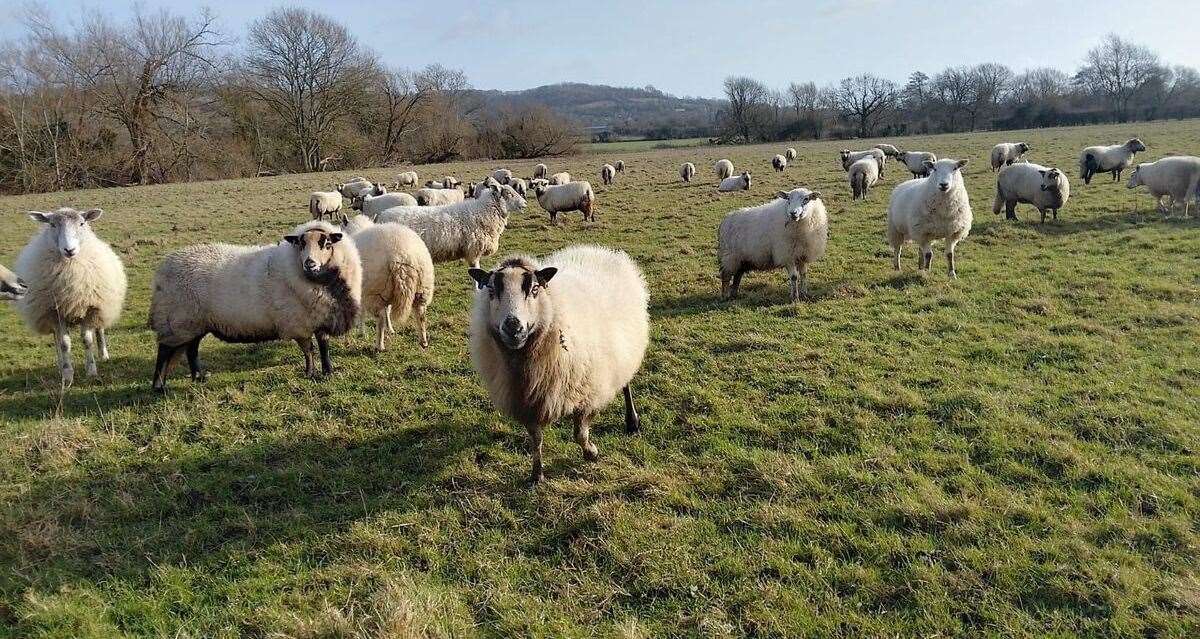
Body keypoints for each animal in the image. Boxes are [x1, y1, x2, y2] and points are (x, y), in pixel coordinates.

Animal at [15, 206, 126, 384]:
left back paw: (103, 354)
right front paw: (67, 374)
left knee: (99, 330)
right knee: (56, 338)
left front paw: (91, 370)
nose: (69, 250)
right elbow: (64, 343)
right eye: (52, 224)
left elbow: (87, 340)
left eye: (82, 223)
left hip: (101, 306)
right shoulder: (55, 311)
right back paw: (60, 365)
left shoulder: (89, 307)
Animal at [147, 219, 360, 389]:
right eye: (301, 244)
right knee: (164, 350)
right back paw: (159, 386)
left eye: (327, 244)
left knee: (191, 349)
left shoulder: (321, 317)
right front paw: (310, 373)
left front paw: (328, 371)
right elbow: (308, 350)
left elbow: (324, 346)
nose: (310, 263)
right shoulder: (298, 323)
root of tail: (164, 268)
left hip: (194, 322)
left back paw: (199, 377)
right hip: (177, 319)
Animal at [336, 217, 434, 353]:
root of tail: (402, 257)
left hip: (375, 291)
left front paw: (361, 332)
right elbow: (388, 309)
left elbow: (362, 312)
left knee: (380, 318)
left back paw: (379, 345)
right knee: (421, 315)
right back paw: (423, 342)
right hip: (422, 288)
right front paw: (390, 329)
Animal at [463, 246, 648, 485]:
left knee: (626, 385)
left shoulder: (587, 393)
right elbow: (536, 440)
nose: (513, 328)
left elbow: (579, 433)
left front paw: (591, 453)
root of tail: (598, 250)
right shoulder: (529, 402)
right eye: (492, 291)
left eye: (534, 289)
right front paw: (537, 474)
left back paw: (632, 422)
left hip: (625, 352)